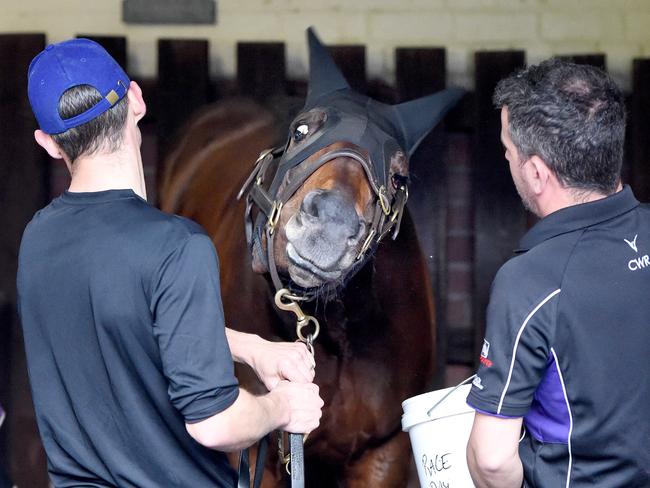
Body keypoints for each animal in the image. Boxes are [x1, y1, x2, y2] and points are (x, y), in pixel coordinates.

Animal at [159, 28, 458, 486]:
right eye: (300, 131)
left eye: (399, 176)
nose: (330, 226)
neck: (335, 334)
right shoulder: (255, 453)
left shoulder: (382, 452)